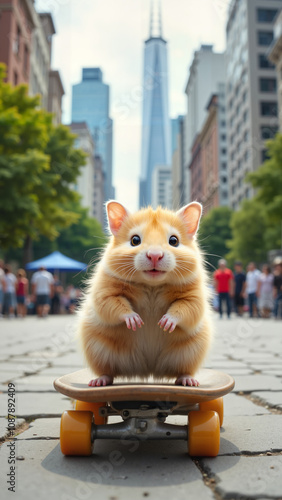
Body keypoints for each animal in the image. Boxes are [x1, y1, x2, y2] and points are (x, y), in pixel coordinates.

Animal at [77, 201, 212, 388]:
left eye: (174, 241)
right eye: (135, 240)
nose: (155, 256)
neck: (151, 285)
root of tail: (148, 371)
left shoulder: (193, 297)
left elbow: (184, 309)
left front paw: (164, 324)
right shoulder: (105, 293)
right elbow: (115, 306)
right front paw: (136, 322)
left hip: (191, 352)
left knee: (183, 371)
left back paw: (189, 381)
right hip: (98, 350)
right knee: (108, 372)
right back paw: (98, 382)